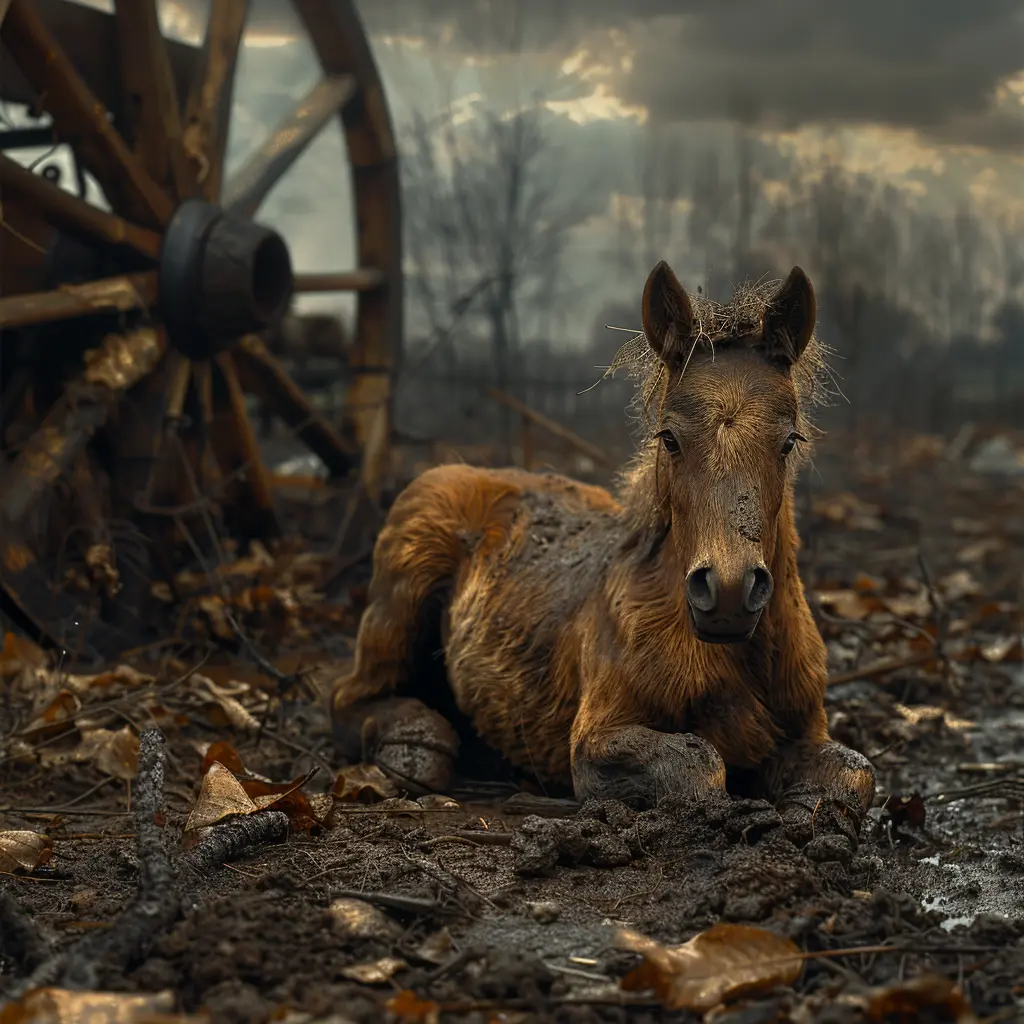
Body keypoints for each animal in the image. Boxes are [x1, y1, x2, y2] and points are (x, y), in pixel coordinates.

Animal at [330, 261, 876, 829]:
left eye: (789, 440)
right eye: (668, 438)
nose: (728, 593)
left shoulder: (805, 730)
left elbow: (852, 770)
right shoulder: (597, 742)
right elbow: (700, 765)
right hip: (400, 600)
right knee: (350, 696)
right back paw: (414, 747)